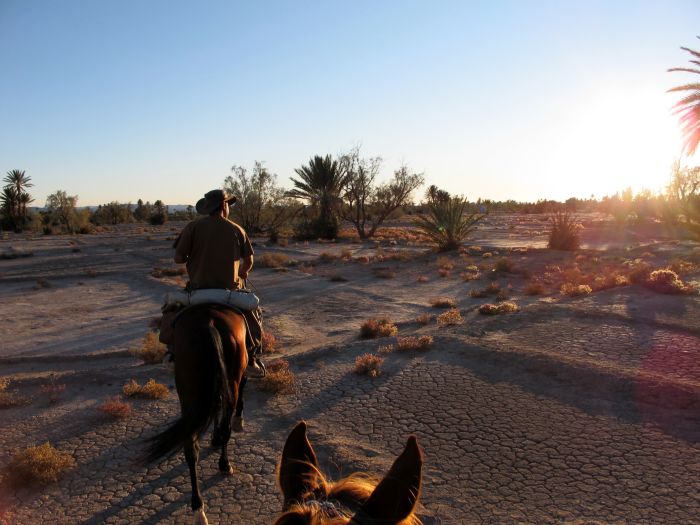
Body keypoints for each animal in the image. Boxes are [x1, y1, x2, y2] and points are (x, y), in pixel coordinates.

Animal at [145, 302, 249, 524]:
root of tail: (209, 323)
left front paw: (215, 437)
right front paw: (235, 423)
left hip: (188, 390)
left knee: (190, 445)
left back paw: (198, 507)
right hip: (230, 378)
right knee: (224, 425)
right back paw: (224, 465)